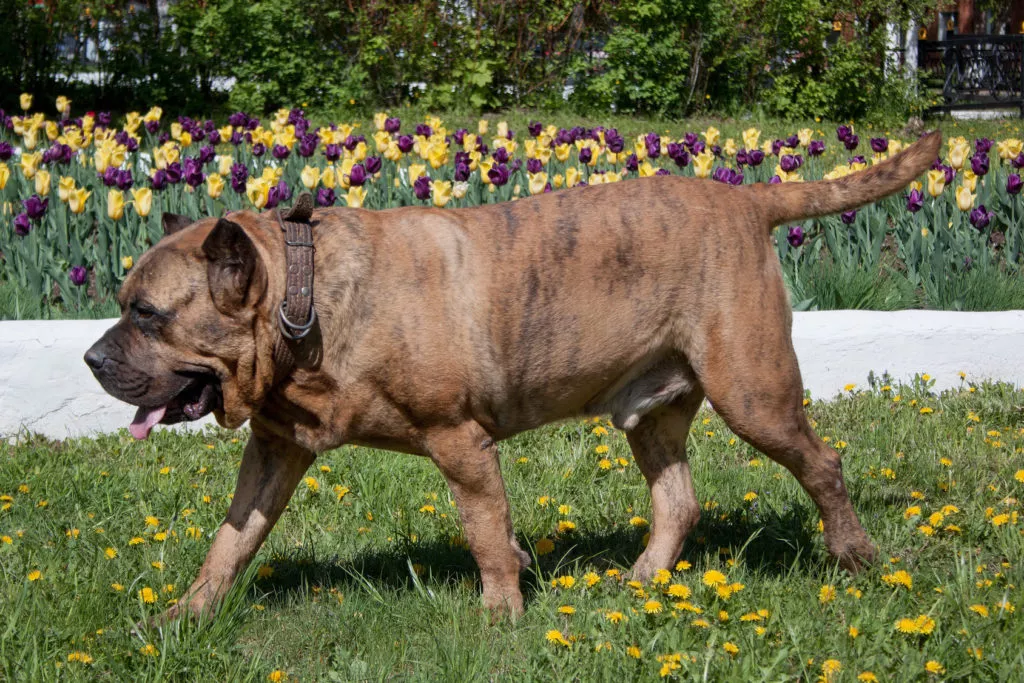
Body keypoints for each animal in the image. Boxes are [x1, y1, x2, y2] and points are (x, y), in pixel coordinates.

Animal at [88, 131, 942, 622]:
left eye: (148, 314)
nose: (93, 358)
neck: (305, 300)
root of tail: (748, 199)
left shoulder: (459, 440)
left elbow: (485, 532)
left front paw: (502, 614)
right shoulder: (274, 449)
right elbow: (232, 539)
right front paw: (184, 615)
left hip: (754, 392)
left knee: (822, 461)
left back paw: (855, 555)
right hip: (654, 410)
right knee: (677, 499)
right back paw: (639, 580)